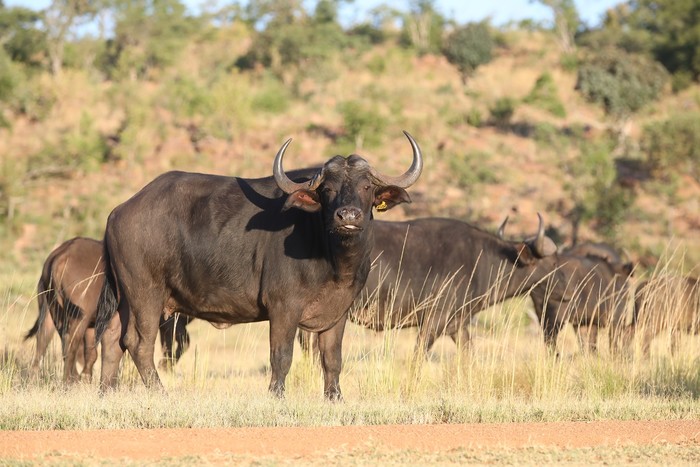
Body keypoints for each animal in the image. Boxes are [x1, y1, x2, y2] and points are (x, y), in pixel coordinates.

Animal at [93, 132, 423, 400]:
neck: (333, 259)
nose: (348, 216)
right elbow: (281, 355)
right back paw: (160, 391)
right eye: (328, 189)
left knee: (112, 337)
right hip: (146, 294)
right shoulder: (283, 308)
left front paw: (335, 397)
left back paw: (106, 391)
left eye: (366, 186)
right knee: (138, 342)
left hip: (126, 297)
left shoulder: (338, 312)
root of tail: (119, 211)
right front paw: (277, 396)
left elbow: (332, 359)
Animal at [301, 213, 567, 358]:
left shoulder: (457, 324)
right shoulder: (435, 318)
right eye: (553, 261)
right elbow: (419, 355)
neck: (482, 259)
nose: (567, 288)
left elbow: (468, 355)